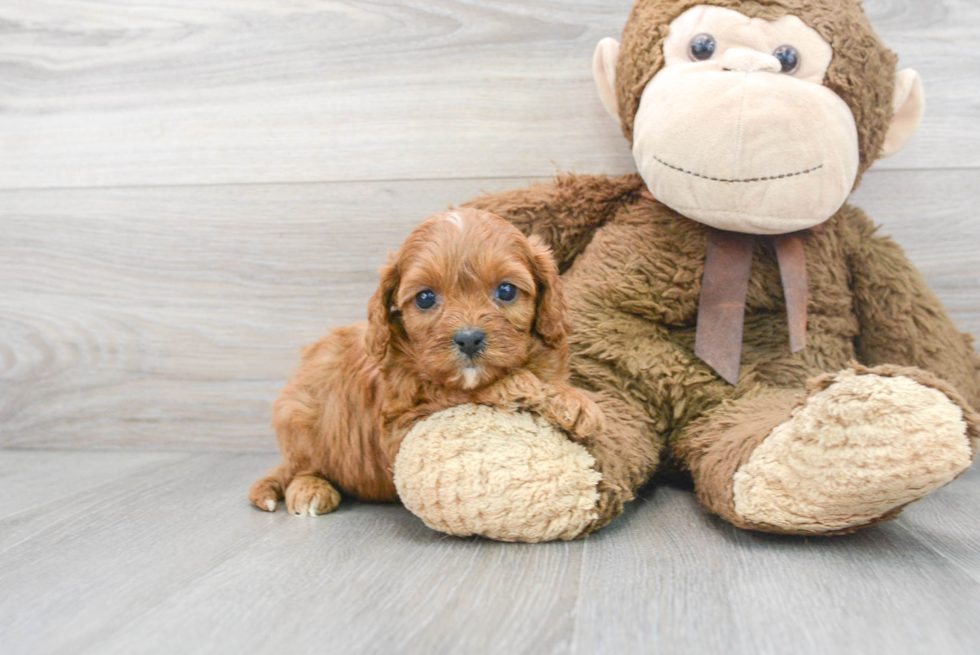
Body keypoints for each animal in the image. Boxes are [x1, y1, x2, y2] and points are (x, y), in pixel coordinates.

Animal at [249, 210, 600, 516]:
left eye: (506, 290)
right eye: (425, 298)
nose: (469, 339)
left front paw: (570, 398)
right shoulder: (398, 429)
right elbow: (455, 392)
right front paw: (526, 387)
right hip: (298, 418)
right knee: (302, 468)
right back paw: (311, 490)